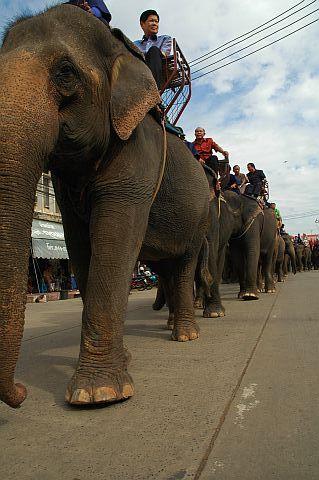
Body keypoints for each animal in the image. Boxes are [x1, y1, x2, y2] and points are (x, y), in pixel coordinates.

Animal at [0, 5, 212, 406]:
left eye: (65, 72)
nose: (20, 392)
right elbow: (81, 246)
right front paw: (119, 365)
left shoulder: (136, 152)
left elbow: (114, 240)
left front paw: (98, 393)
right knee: (166, 267)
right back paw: (175, 325)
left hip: (201, 216)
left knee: (185, 263)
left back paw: (186, 335)